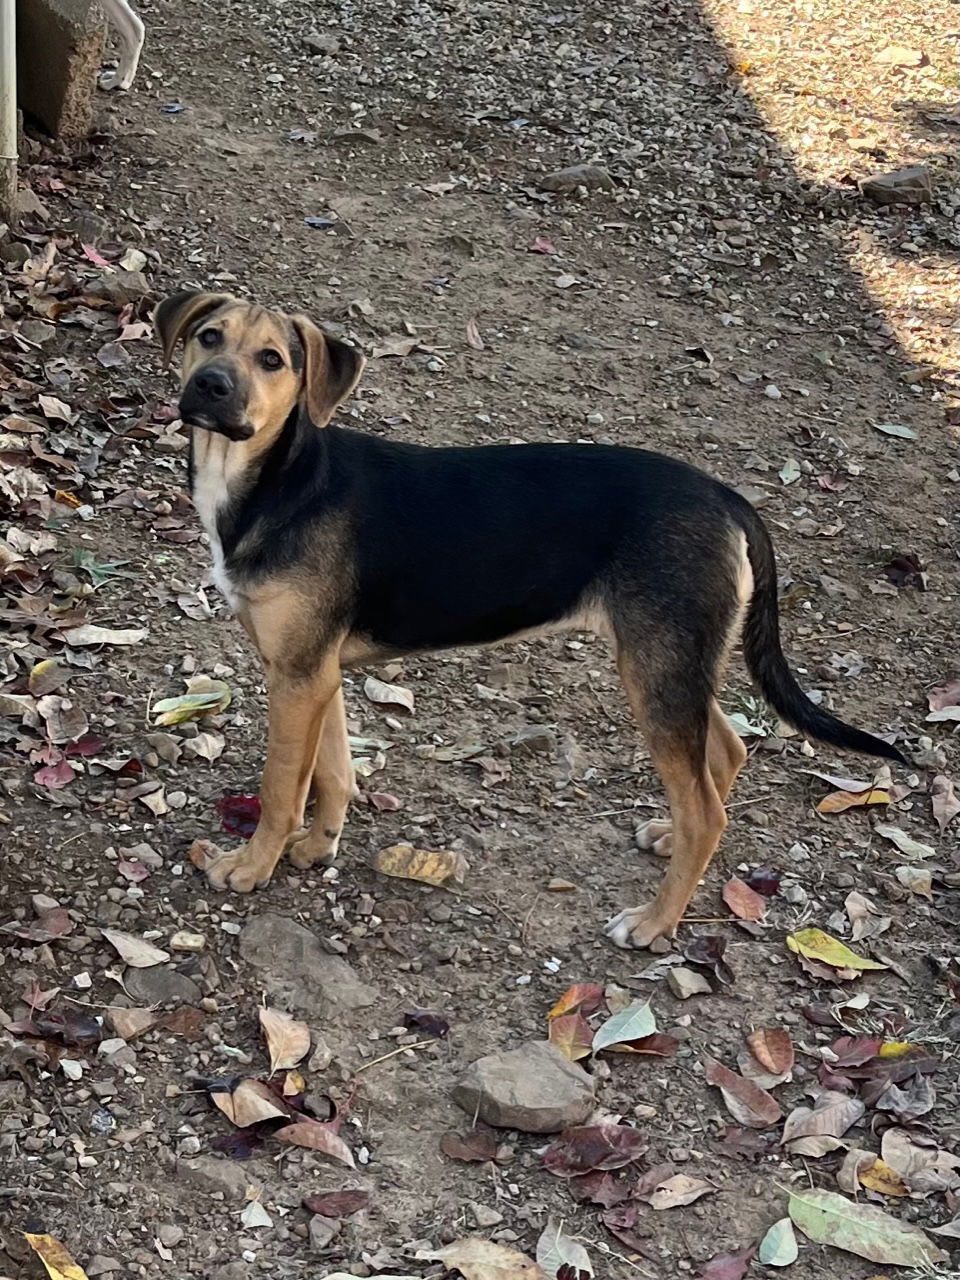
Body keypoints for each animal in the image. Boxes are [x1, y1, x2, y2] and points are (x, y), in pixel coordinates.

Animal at [154, 293, 906, 952]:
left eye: (273, 360)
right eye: (209, 337)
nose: (212, 386)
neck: (277, 481)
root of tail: (727, 497)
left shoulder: (297, 676)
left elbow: (282, 787)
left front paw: (253, 866)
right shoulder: (315, 672)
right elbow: (334, 771)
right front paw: (316, 847)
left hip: (657, 665)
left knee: (706, 810)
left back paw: (654, 923)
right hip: (678, 660)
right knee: (724, 752)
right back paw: (669, 838)